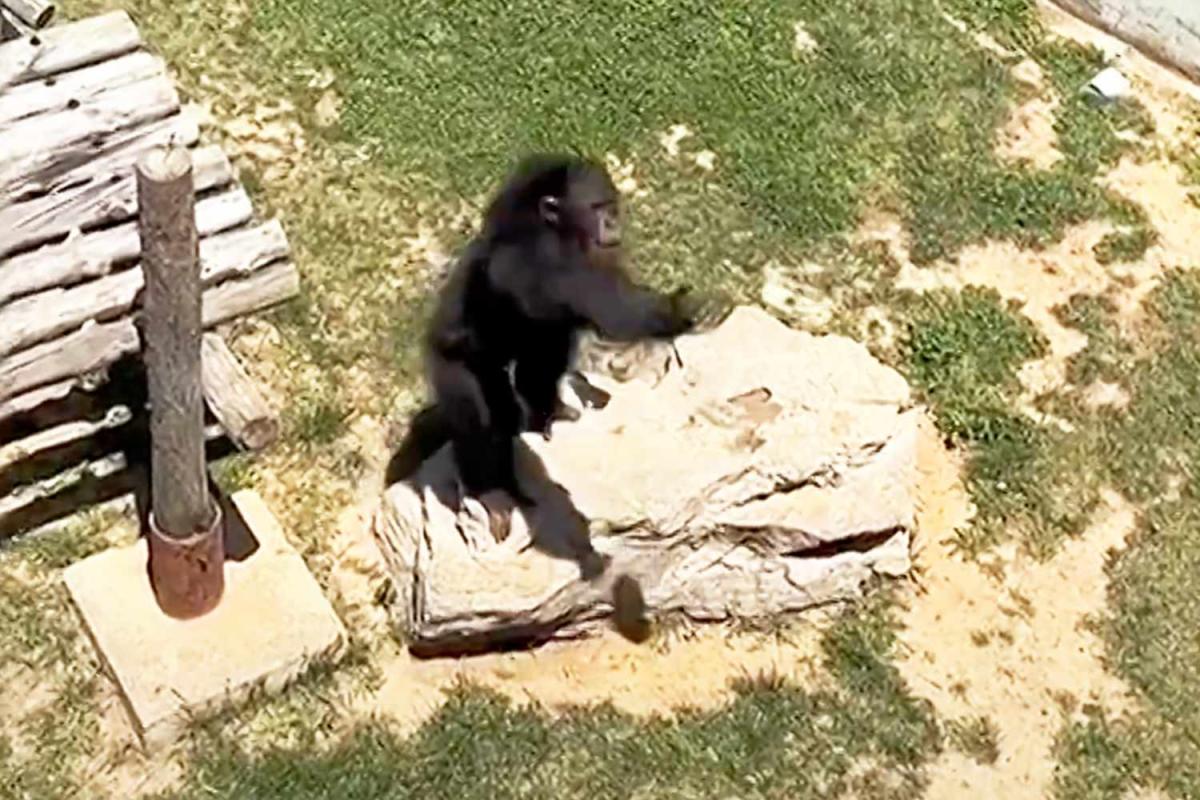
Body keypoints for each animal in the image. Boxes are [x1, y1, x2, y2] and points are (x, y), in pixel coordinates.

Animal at [427, 153, 715, 510]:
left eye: (611, 206)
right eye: (597, 207)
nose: (612, 222)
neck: (556, 229)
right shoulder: (543, 258)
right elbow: (615, 311)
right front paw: (690, 309)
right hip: (454, 370)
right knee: (479, 425)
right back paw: (491, 493)